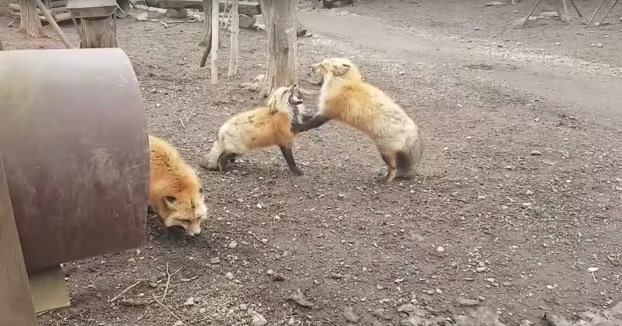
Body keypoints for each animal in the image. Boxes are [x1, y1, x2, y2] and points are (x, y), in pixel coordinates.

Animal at [292, 57, 424, 182]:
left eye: (322, 65)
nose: (310, 66)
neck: (343, 85)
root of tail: (414, 129)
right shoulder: (324, 111)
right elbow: (308, 117)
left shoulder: (328, 112)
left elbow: (310, 124)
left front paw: (296, 127)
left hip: (385, 152)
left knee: (393, 169)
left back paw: (386, 180)